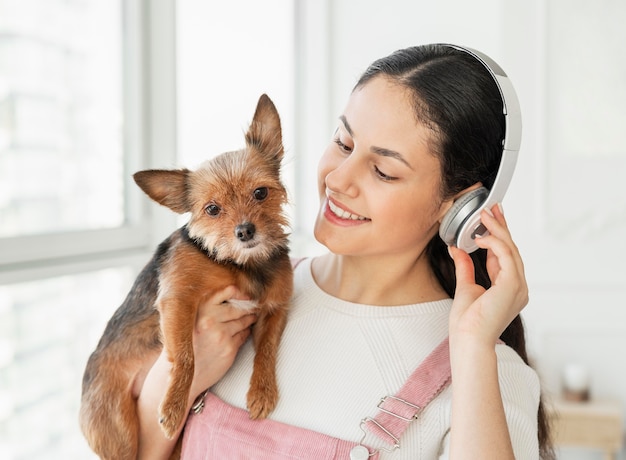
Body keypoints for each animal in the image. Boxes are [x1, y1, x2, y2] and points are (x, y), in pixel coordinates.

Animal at [79, 94, 292, 460]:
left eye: (261, 193)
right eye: (212, 209)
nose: (245, 231)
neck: (240, 263)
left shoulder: (275, 308)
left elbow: (265, 349)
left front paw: (262, 391)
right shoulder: (178, 299)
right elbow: (187, 358)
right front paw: (174, 405)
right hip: (119, 432)